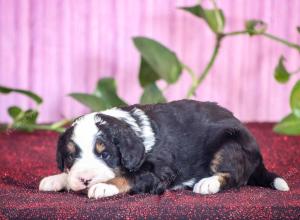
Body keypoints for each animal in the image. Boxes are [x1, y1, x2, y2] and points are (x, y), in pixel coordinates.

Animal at [38, 99, 290, 198]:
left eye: (105, 154)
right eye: (70, 156)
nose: (85, 180)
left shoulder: (159, 170)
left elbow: (130, 176)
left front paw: (103, 186)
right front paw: (55, 179)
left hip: (230, 146)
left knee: (235, 176)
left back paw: (207, 183)